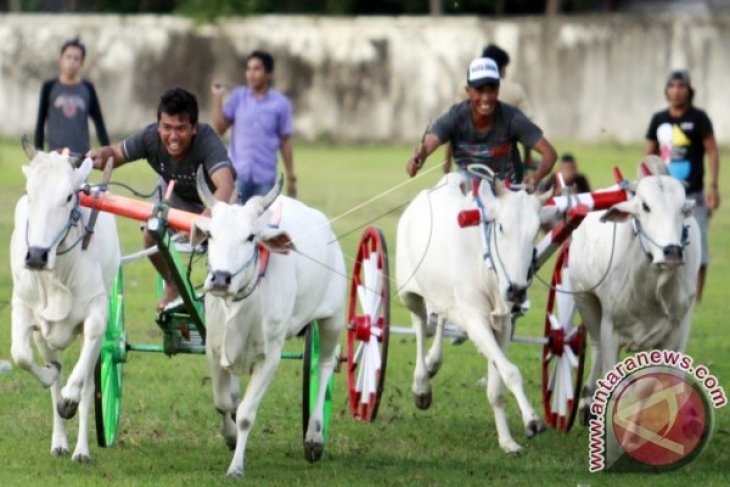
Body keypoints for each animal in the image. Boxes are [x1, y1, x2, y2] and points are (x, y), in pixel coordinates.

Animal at [10, 143, 121, 464]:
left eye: (69, 196)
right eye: (29, 192)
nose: (36, 255)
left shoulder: (97, 317)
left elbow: (81, 385)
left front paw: (70, 400)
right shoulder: (23, 308)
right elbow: (21, 356)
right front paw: (50, 376)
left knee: (87, 386)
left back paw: (81, 449)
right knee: (54, 378)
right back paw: (59, 442)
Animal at [191, 170, 344, 478]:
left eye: (251, 237)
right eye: (210, 234)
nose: (221, 278)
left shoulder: (269, 357)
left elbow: (246, 415)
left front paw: (236, 467)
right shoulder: (214, 350)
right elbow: (222, 402)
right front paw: (229, 437)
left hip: (332, 319)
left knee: (324, 366)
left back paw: (314, 437)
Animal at [396, 173, 556, 456]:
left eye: (535, 231)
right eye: (501, 227)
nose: (516, 290)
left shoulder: (502, 325)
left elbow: (497, 386)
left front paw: (507, 441)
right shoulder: (475, 321)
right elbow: (511, 371)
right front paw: (532, 420)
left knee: (438, 320)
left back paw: (433, 363)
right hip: (409, 294)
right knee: (420, 324)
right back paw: (421, 385)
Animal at [568, 173, 700, 420]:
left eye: (682, 208)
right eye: (646, 206)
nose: (672, 252)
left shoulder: (676, 333)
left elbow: (654, 386)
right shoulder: (609, 328)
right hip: (586, 301)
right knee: (596, 346)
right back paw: (587, 400)